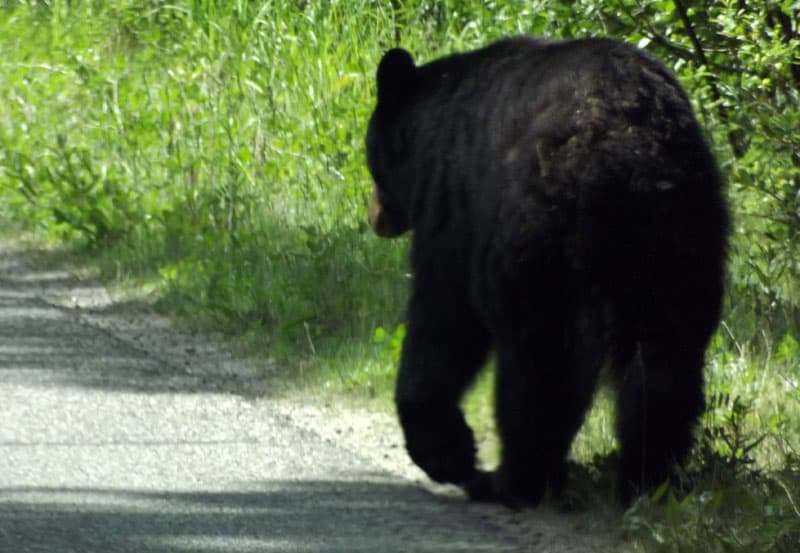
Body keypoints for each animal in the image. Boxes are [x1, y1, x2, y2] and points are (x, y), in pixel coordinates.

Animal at [366, 36, 728, 506]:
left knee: (539, 364)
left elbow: (444, 319)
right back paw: (647, 478)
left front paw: (447, 452)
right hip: (681, 238)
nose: (375, 216)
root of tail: (630, 148)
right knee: (665, 359)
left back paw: (513, 480)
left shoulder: (454, 208)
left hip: (537, 236)